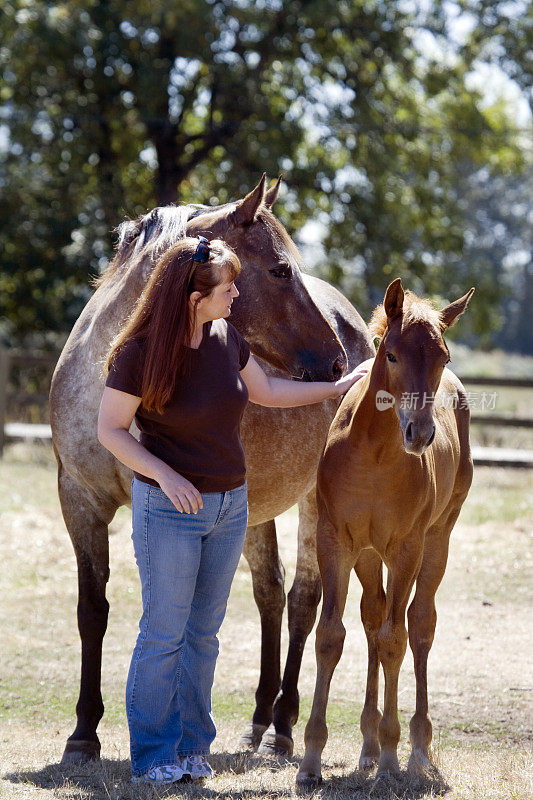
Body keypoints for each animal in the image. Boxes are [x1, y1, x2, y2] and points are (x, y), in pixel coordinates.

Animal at [296, 280, 474, 788]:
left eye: (443, 357)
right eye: (390, 354)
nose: (421, 434)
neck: (374, 455)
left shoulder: (406, 549)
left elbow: (397, 639)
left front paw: (394, 757)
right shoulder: (336, 541)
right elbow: (331, 636)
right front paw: (311, 761)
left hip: (437, 540)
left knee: (419, 624)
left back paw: (416, 749)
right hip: (367, 556)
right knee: (373, 618)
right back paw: (368, 746)